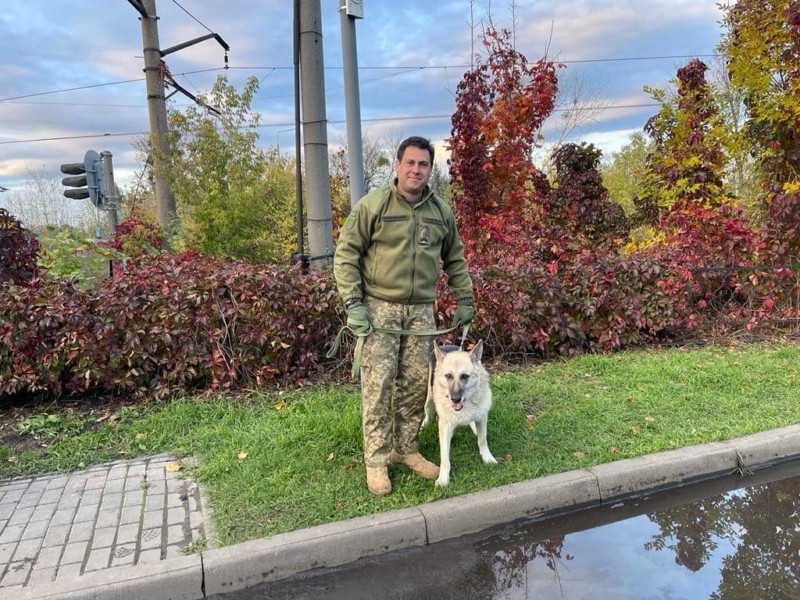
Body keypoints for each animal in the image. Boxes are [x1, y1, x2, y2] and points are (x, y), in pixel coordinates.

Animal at [422, 340, 496, 486]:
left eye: (465, 376)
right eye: (448, 376)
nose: (455, 399)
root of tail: (445, 345)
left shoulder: (482, 418)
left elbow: (482, 440)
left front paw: (486, 457)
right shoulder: (445, 429)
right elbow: (445, 458)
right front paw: (443, 478)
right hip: (429, 397)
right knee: (427, 411)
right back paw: (425, 423)